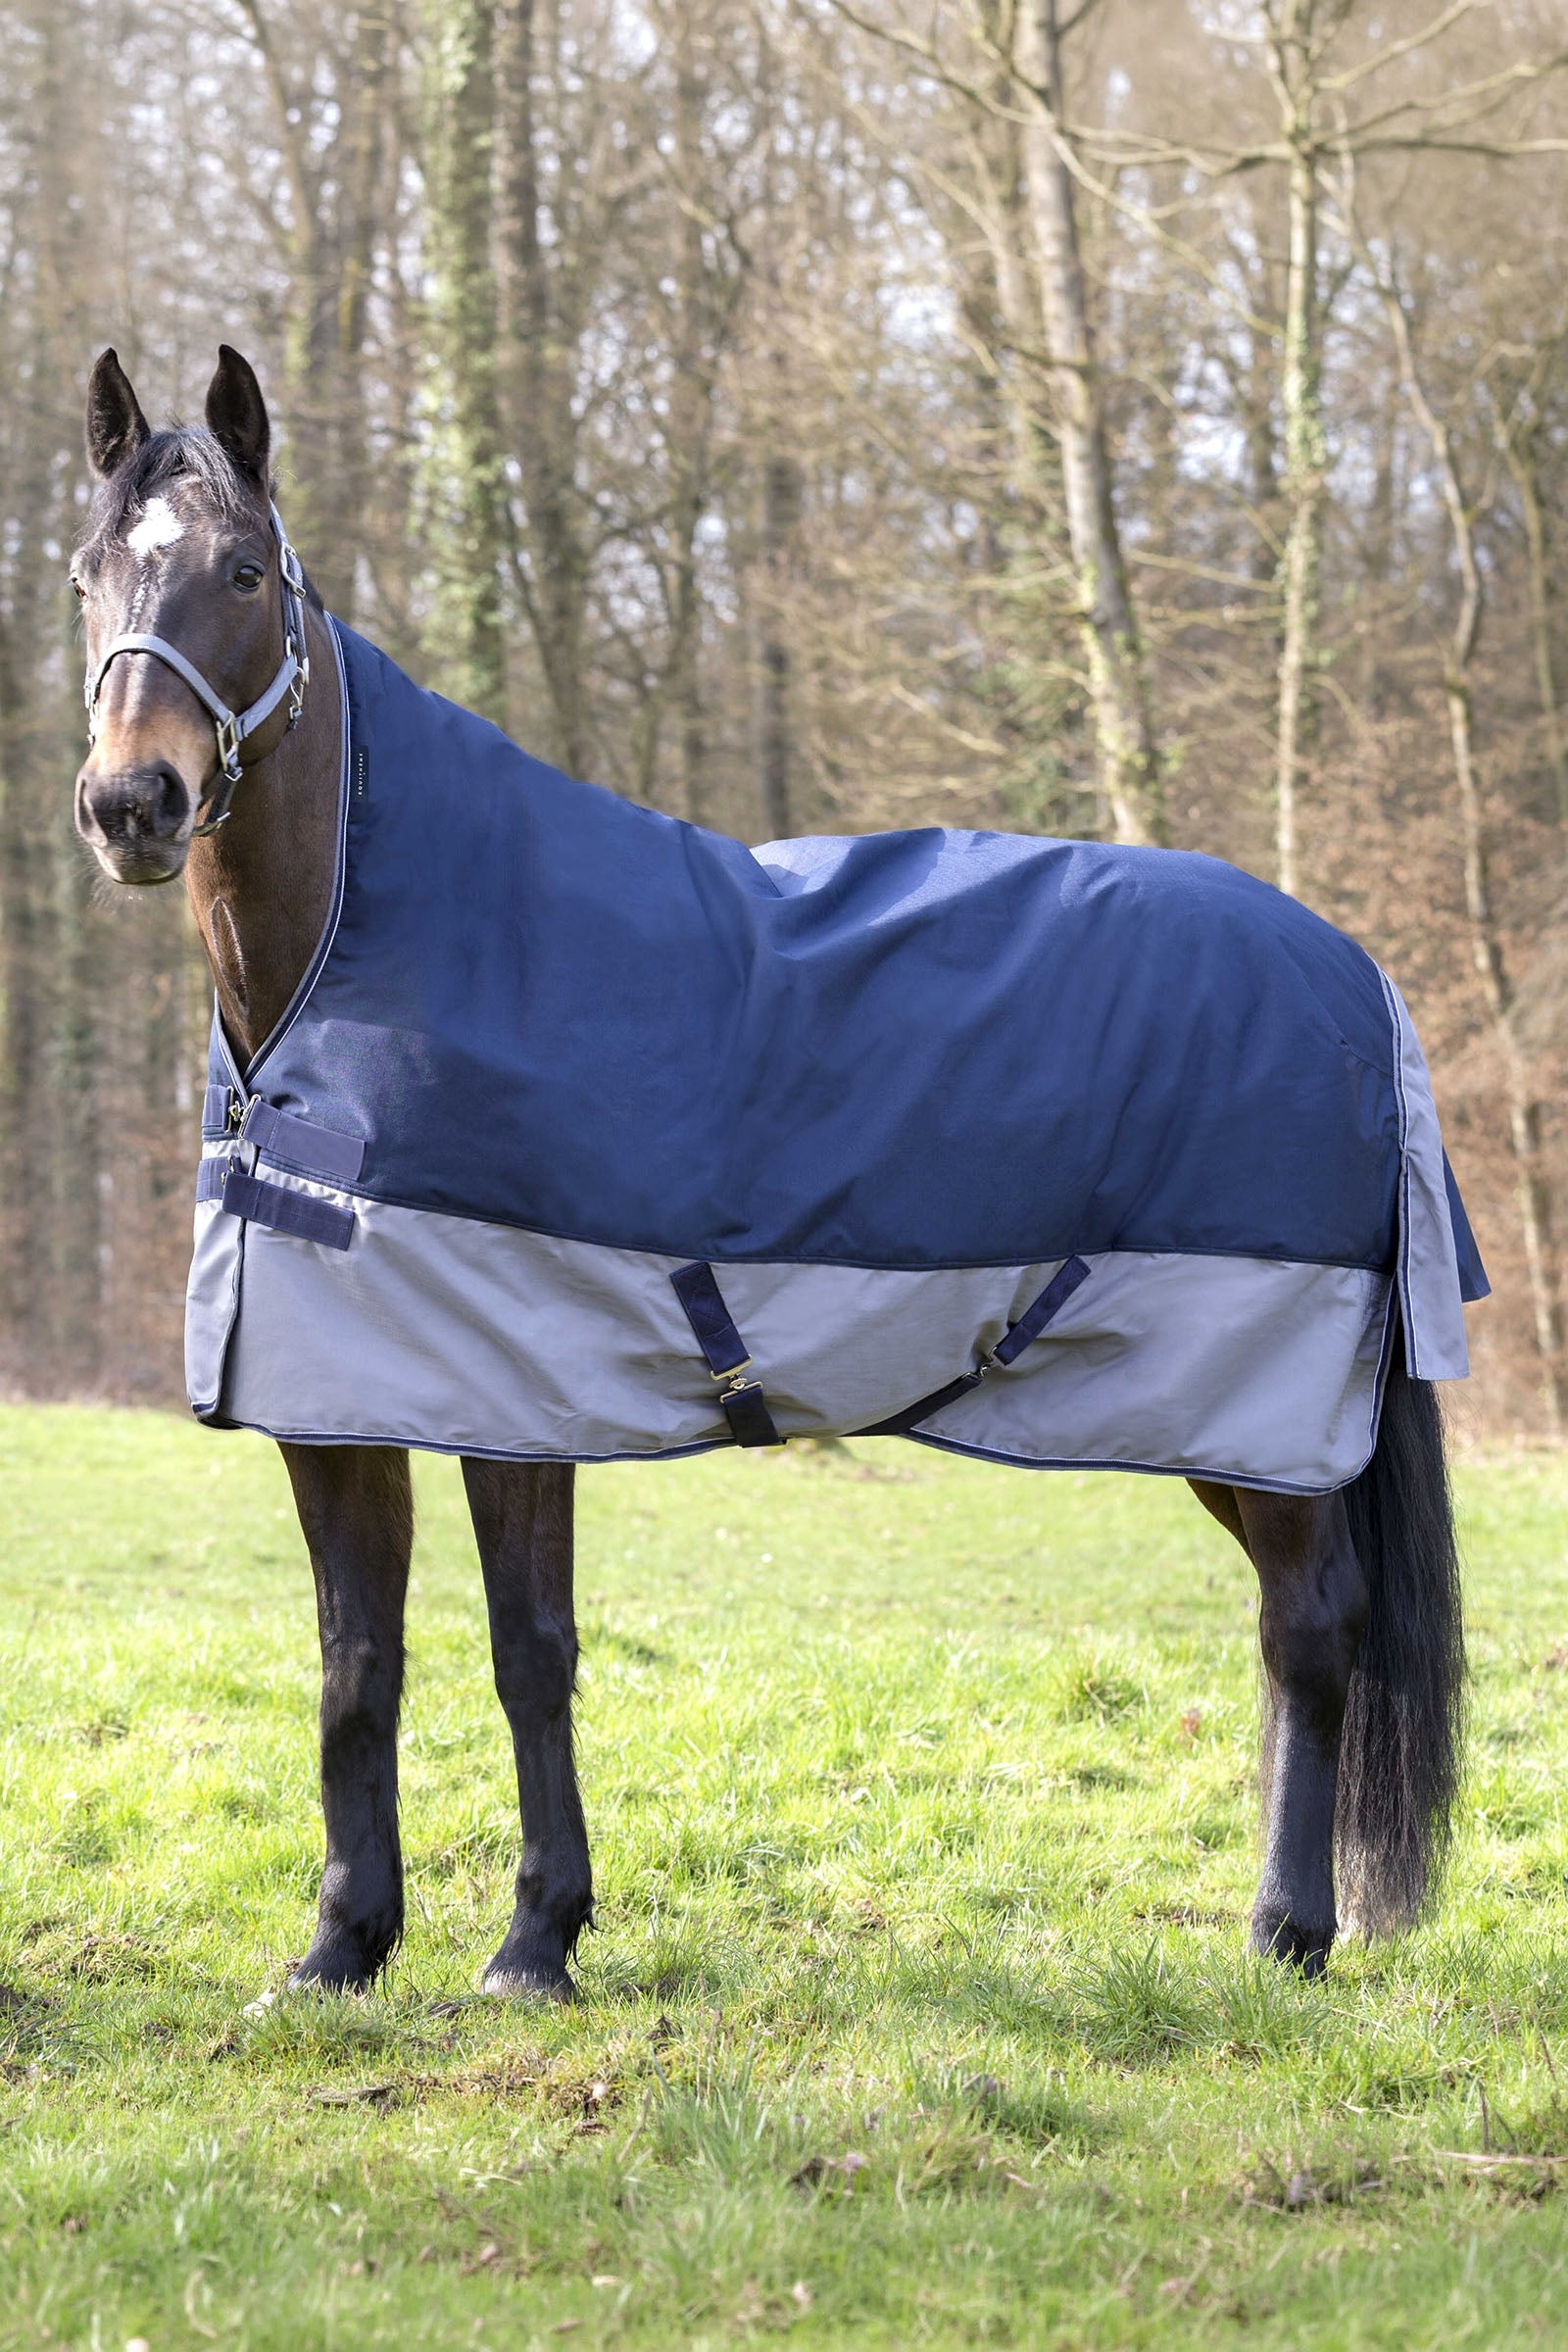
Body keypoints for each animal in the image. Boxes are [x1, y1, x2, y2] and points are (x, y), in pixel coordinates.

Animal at [70, 343, 1470, 1997]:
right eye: (89, 576)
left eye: (240, 571)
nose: (132, 806)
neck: (362, 964)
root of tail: (1354, 971)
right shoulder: (339, 1397)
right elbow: (359, 1662)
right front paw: (344, 1947)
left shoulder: (512, 1388)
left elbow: (526, 1653)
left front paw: (535, 1939)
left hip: (1259, 1409)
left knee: (1309, 1631)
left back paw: (1285, 1932)